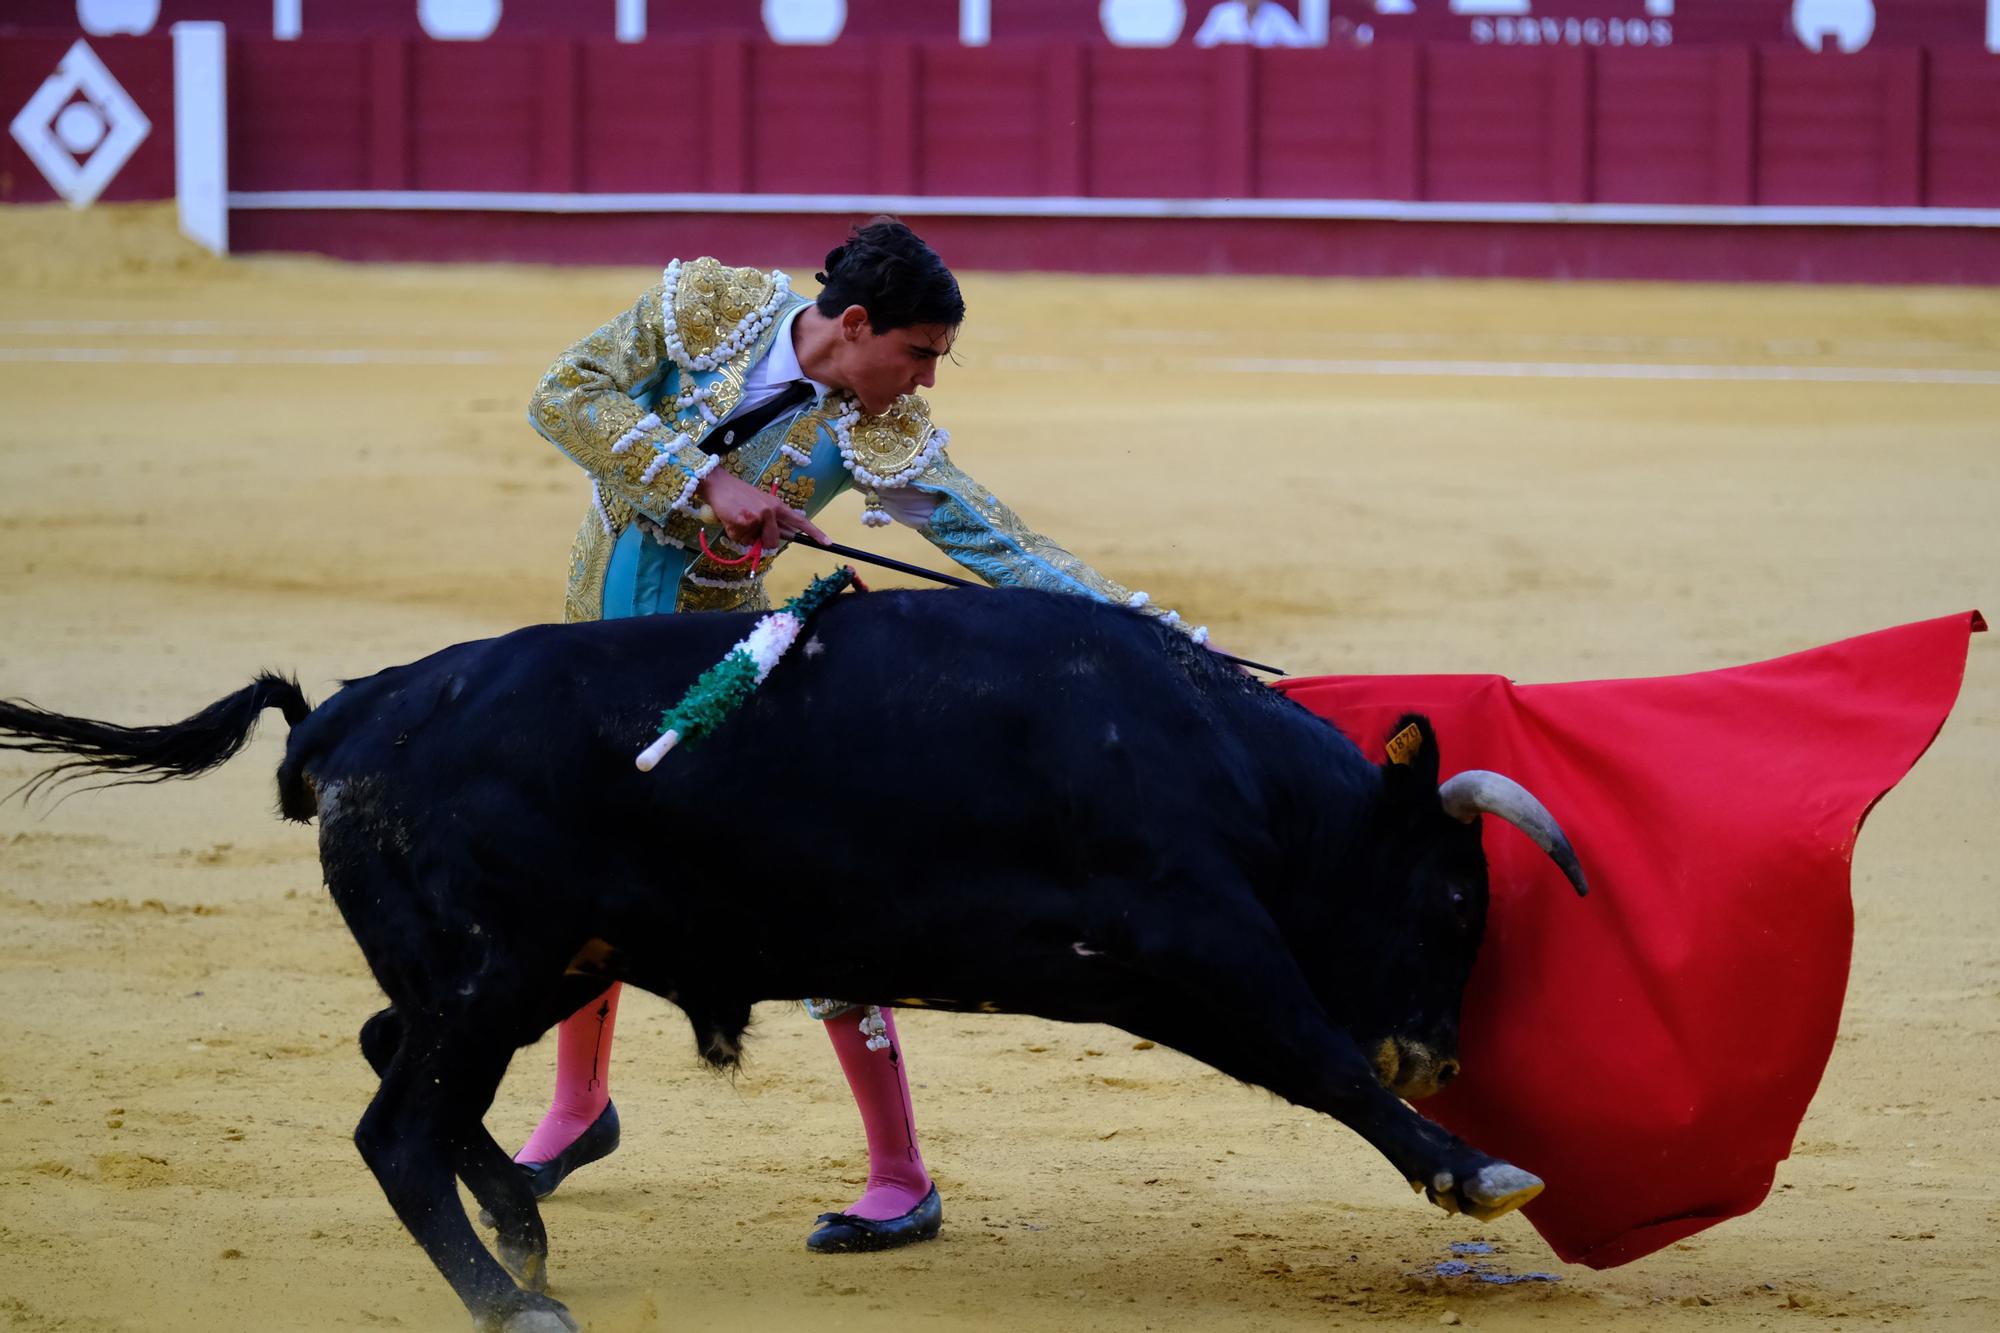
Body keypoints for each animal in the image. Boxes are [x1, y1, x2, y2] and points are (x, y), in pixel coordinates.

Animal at [3, 588, 1592, 1320]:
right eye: (1454, 900)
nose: (1438, 1052)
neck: (1218, 762)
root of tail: (350, 710)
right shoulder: (1192, 938)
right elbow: (1316, 1056)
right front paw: (1478, 1168)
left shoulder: (1158, 966)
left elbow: (1306, 1057)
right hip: (488, 966)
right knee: (396, 1123)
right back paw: (515, 1297)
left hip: (525, 967)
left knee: (406, 1069)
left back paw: (519, 1220)